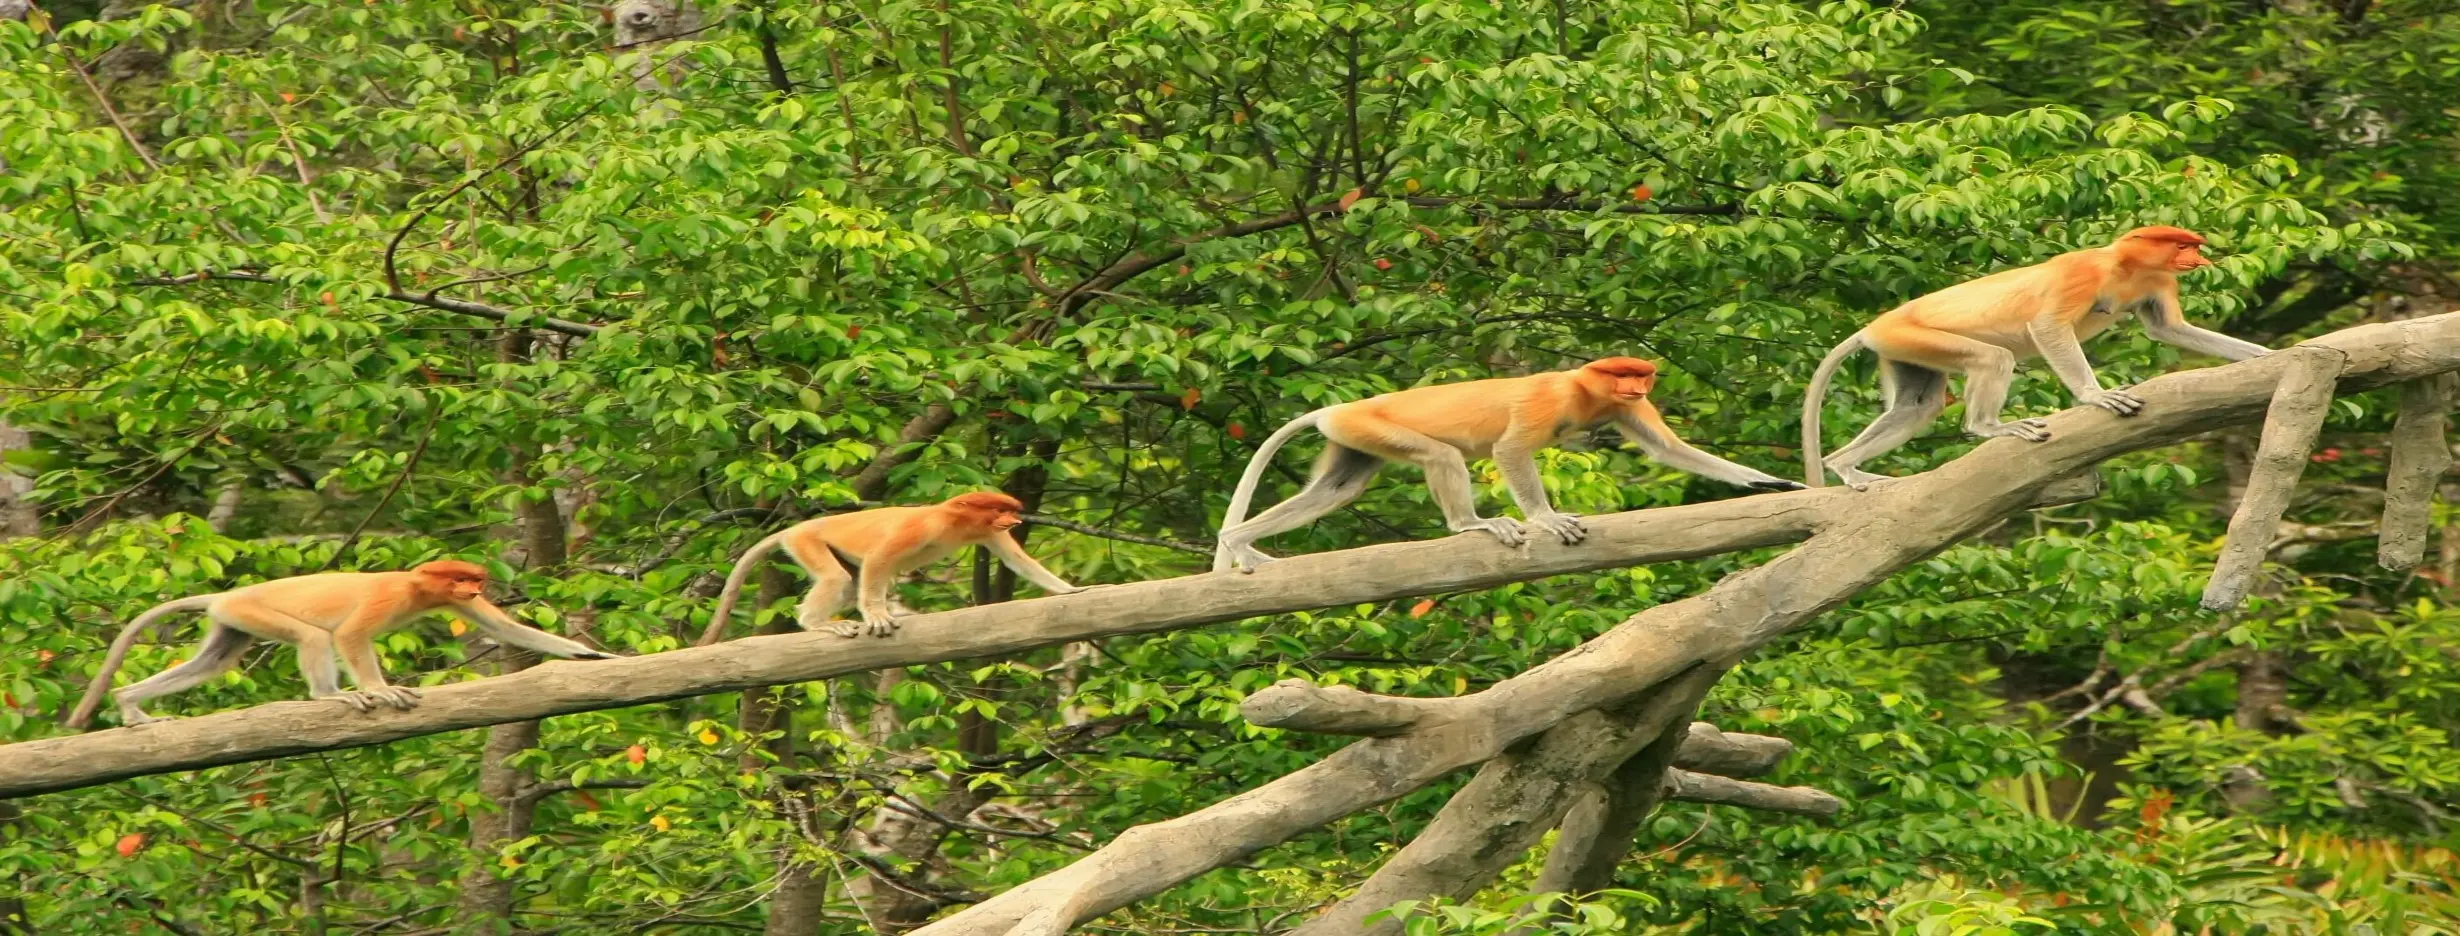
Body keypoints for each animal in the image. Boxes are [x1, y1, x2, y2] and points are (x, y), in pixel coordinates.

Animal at [65, 560, 615, 730]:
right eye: (461, 578)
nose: (475, 589)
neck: (416, 585)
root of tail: (226, 596)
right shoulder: (389, 595)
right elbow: (351, 635)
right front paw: (382, 689)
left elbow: (508, 630)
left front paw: (595, 655)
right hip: (254, 611)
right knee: (315, 636)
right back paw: (330, 696)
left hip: (232, 622)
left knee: (214, 662)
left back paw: (129, 704)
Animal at [694, 492, 1085, 646]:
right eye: (1000, 509)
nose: (1015, 519)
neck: (954, 521)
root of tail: (796, 528)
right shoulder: (922, 526)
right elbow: (880, 557)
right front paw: (878, 617)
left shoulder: (987, 533)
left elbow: (1019, 561)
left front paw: (1073, 591)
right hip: (807, 542)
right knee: (838, 578)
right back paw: (817, 622)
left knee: (848, 583)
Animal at [1212, 357, 1804, 574]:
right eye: (1621, 374)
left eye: (1641, 376)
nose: (1638, 386)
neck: (1584, 389)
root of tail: (1335, 408)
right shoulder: (1549, 399)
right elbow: (1511, 452)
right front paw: (1547, 519)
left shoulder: (1625, 411)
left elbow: (1669, 450)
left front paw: (1771, 481)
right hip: (1370, 426)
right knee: (1441, 455)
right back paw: (1471, 525)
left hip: (1352, 439)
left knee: (1335, 489)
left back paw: (1240, 541)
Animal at [1802, 226, 2270, 490]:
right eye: (2182, 245)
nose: (2199, 257)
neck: (2124, 265)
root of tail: (1872, 327)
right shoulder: (2083, 274)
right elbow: (2048, 327)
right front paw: (2097, 396)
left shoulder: (2157, 281)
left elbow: (2169, 329)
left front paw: (2267, 355)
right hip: (1909, 336)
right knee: (1993, 359)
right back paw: (1989, 427)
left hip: (1905, 351)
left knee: (1918, 406)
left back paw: (1845, 466)